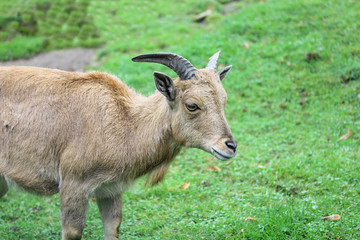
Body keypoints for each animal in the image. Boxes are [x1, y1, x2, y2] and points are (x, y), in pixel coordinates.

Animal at [0, 51, 238, 239]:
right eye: (192, 105)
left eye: (224, 100)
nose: (230, 146)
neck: (124, 123)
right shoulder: (73, 184)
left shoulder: (109, 190)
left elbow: (113, 228)